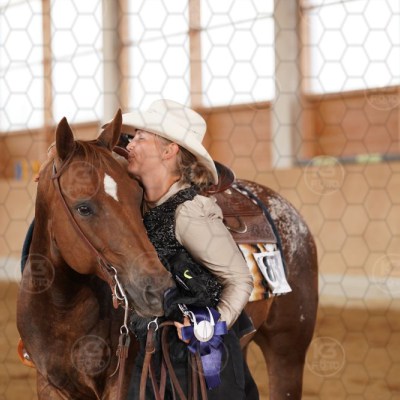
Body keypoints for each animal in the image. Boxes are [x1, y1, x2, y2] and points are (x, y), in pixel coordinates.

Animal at [17, 110, 318, 399]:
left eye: (137, 195)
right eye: (83, 208)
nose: (158, 289)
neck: (64, 308)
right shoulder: (49, 385)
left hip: (287, 351)